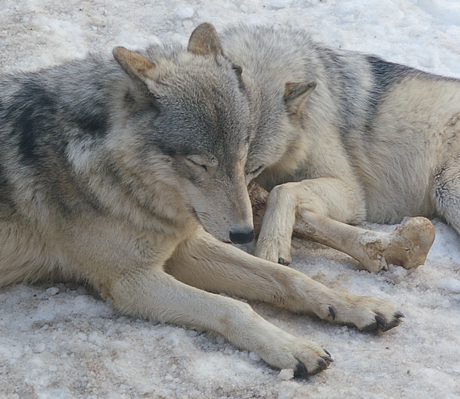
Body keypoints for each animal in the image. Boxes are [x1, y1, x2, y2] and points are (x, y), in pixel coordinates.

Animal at [2, 21, 434, 378]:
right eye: (200, 163)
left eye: (245, 159)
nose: (244, 234)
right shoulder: (131, 282)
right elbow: (232, 307)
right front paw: (291, 348)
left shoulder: (185, 248)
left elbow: (289, 277)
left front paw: (358, 305)